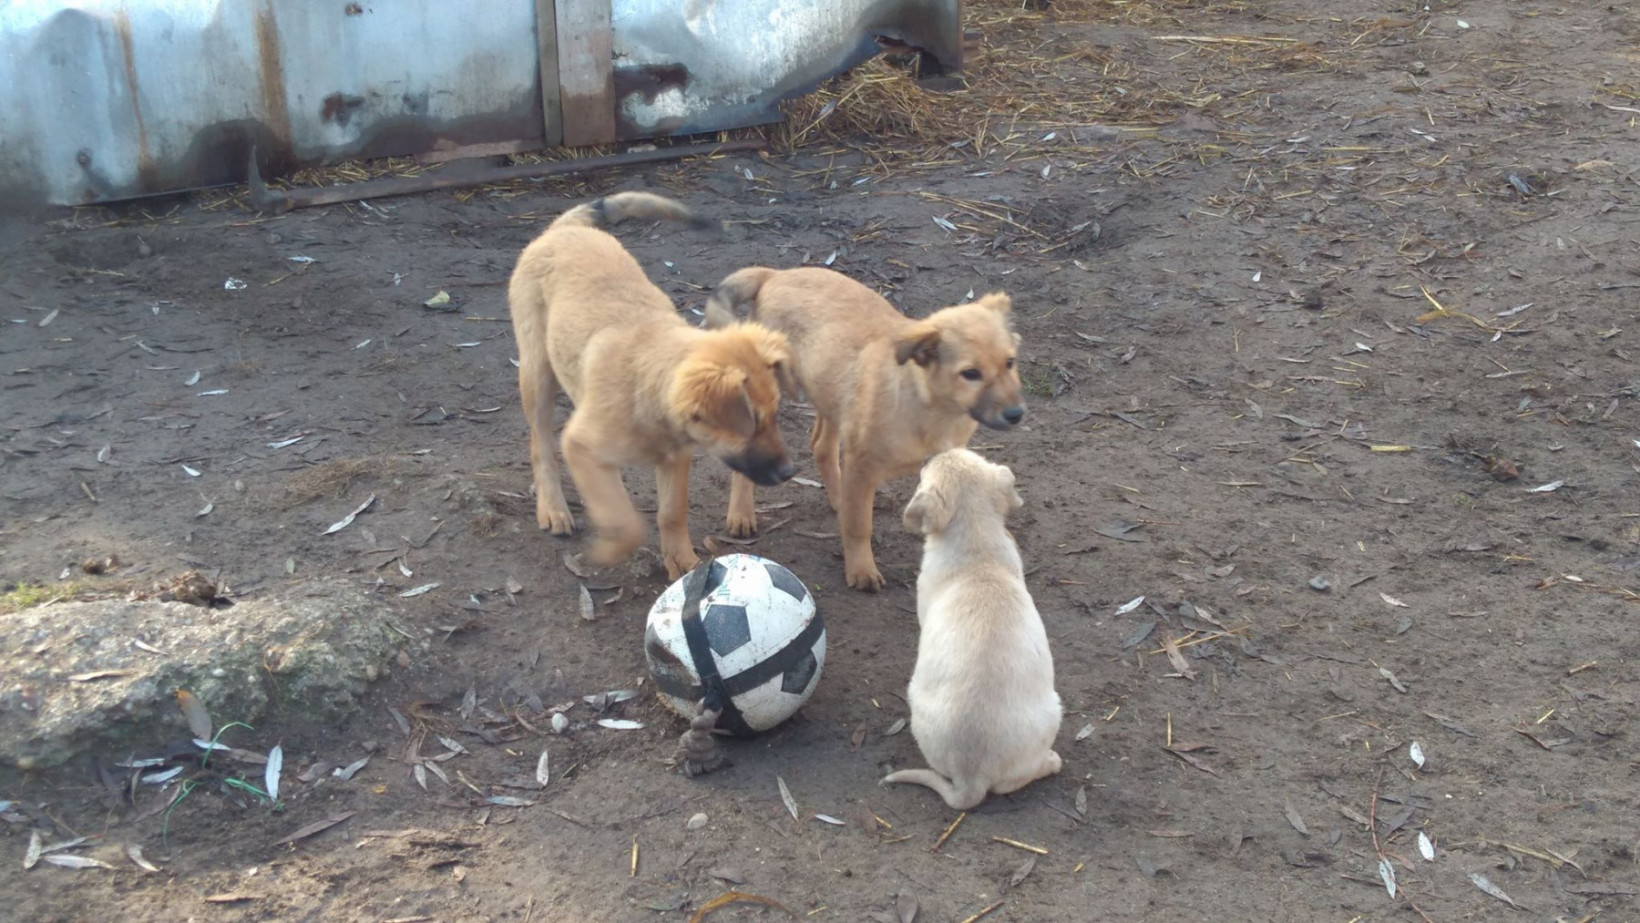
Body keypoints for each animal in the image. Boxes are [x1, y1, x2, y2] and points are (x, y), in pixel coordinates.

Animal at [508, 192, 797, 580]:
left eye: (775, 416)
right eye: (752, 423)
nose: (789, 472)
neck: (649, 393)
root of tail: (564, 229)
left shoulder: (676, 458)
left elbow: (672, 513)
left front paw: (683, 562)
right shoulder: (581, 445)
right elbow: (626, 522)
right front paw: (609, 550)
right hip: (537, 372)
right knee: (540, 444)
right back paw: (553, 509)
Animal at [705, 265, 1023, 593]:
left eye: (1010, 362)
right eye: (970, 373)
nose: (1016, 414)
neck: (929, 406)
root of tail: (775, 274)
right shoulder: (861, 465)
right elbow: (859, 526)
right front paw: (861, 569)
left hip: (830, 392)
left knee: (821, 446)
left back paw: (838, 498)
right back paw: (741, 514)